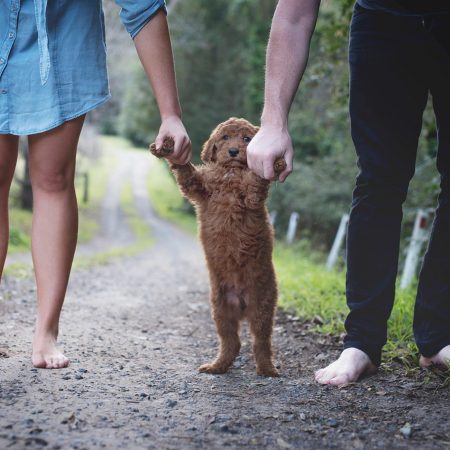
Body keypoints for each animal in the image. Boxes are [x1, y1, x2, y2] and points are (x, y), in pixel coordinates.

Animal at [149, 117, 286, 376]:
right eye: (224, 138)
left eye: (246, 139)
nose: (233, 151)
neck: (230, 172)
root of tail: (241, 301)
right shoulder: (198, 187)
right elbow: (186, 171)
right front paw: (169, 148)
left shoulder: (251, 198)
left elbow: (256, 181)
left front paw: (275, 163)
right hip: (220, 308)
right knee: (231, 341)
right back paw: (217, 366)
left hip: (262, 306)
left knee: (261, 341)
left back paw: (266, 369)